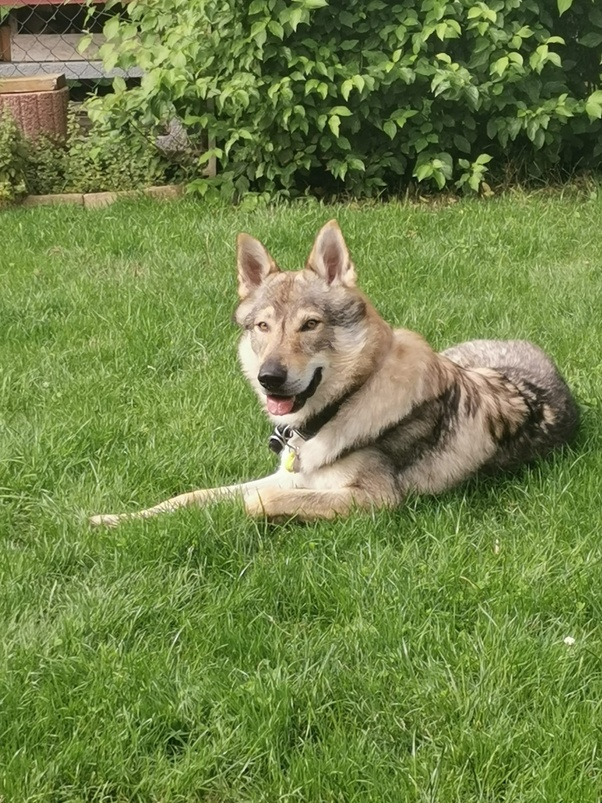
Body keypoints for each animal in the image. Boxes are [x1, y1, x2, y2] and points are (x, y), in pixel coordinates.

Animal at [89, 220, 576, 528]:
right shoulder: (289, 475)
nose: (269, 377)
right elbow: (188, 497)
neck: (343, 407)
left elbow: (255, 501)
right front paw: (112, 520)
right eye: (262, 327)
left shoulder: (377, 500)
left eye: (310, 325)